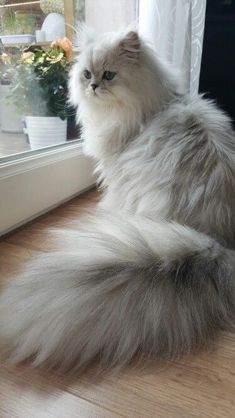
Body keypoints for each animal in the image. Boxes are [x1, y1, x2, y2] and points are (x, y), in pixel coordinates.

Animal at [0, 27, 235, 370]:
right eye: (86, 74)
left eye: (109, 75)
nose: (93, 86)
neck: (154, 105)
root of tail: (218, 246)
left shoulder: (114, 170)